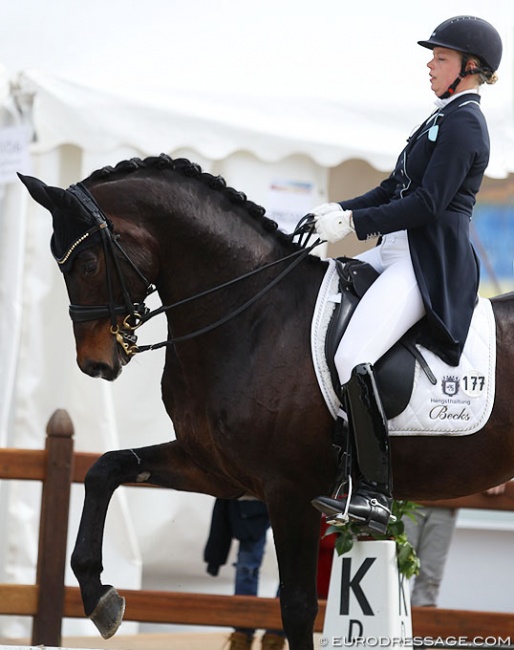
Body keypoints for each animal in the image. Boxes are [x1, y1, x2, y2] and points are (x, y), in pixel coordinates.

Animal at [18, 156, 512, 648]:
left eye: (86, 263)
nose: (95, 362)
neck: (253, 313)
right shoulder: (214, 469)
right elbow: (106, 469)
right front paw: (98, 595)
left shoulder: (290, 489)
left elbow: (297, 607)